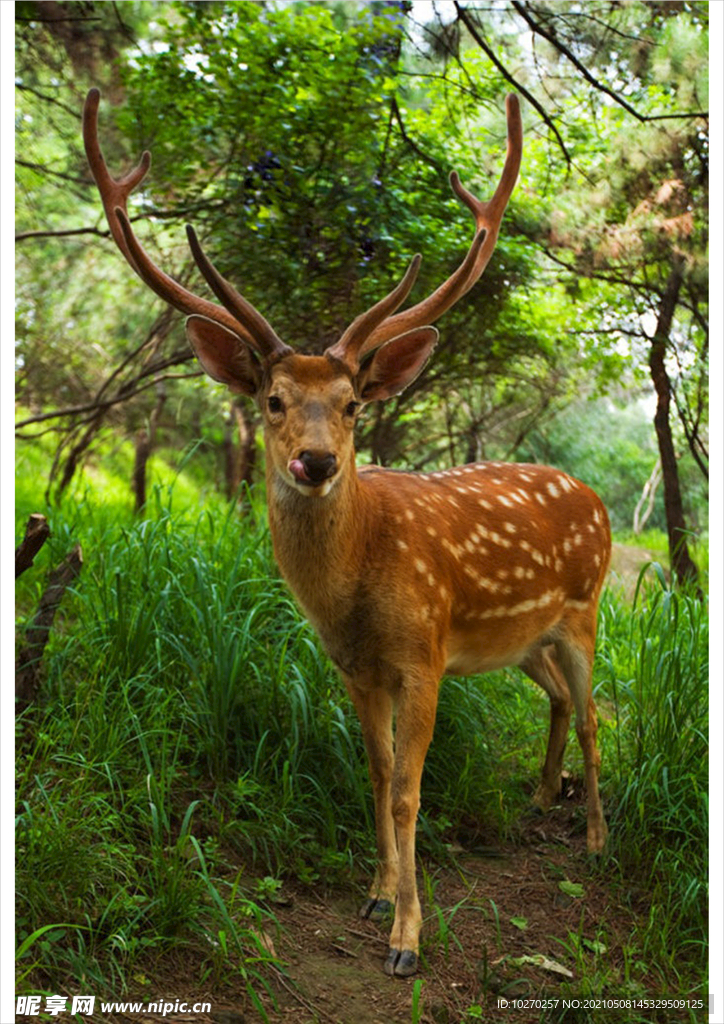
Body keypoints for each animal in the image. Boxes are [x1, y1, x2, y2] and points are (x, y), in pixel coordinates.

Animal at [81, 88, 610, 974]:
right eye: (272, 400)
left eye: (354, 404)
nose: (317, 461)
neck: (357, 585)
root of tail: (594, 495)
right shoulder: (356, 668)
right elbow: (375, 773)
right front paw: (375, 894)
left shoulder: (424, 654)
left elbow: (408, 790)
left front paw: (408, 938)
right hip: (522, 640)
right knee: (565, 701)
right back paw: (541, 797)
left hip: (585, 610)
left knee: (598, 710)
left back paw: (600, 836)